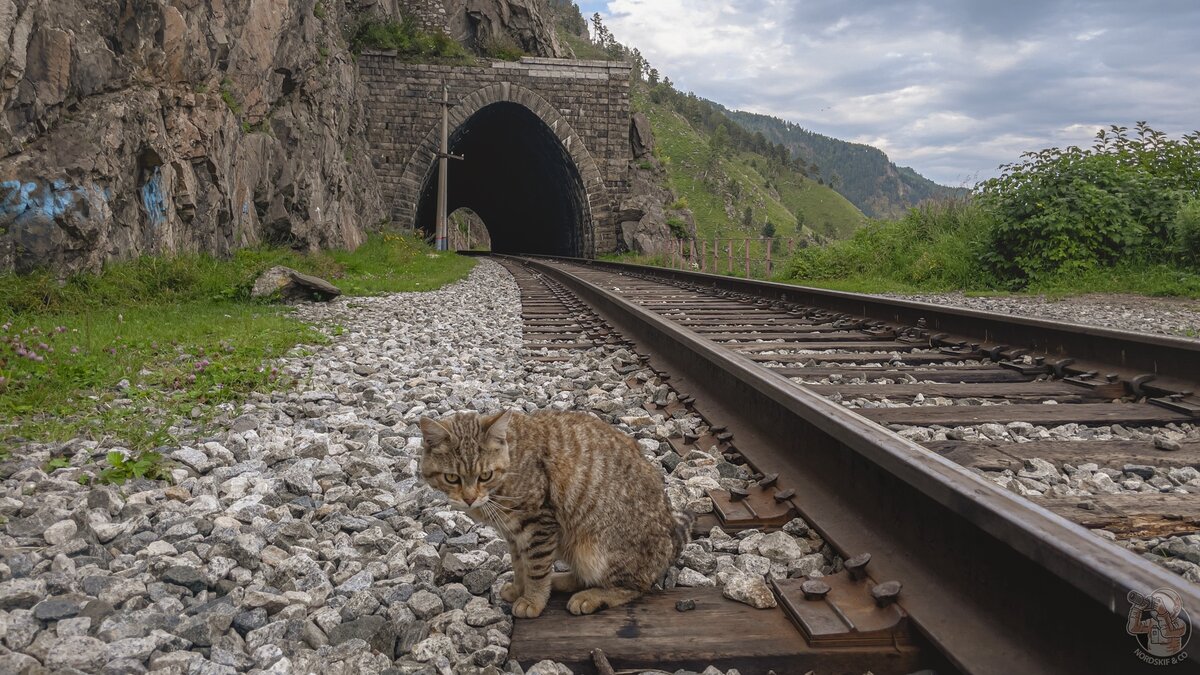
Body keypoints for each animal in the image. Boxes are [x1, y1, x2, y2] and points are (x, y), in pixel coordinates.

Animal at [417, 408, 691, 619]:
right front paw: (520, 588)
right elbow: (520, 564)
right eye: (452, 478)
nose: (469, 498)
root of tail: (671, 541)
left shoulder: (538, 524)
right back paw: (560, 580)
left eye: (485, 475)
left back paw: (591, 596)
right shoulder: (513, 533)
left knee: (635, 586)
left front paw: (533, 600)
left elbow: (536, 568)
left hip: (595, 548)